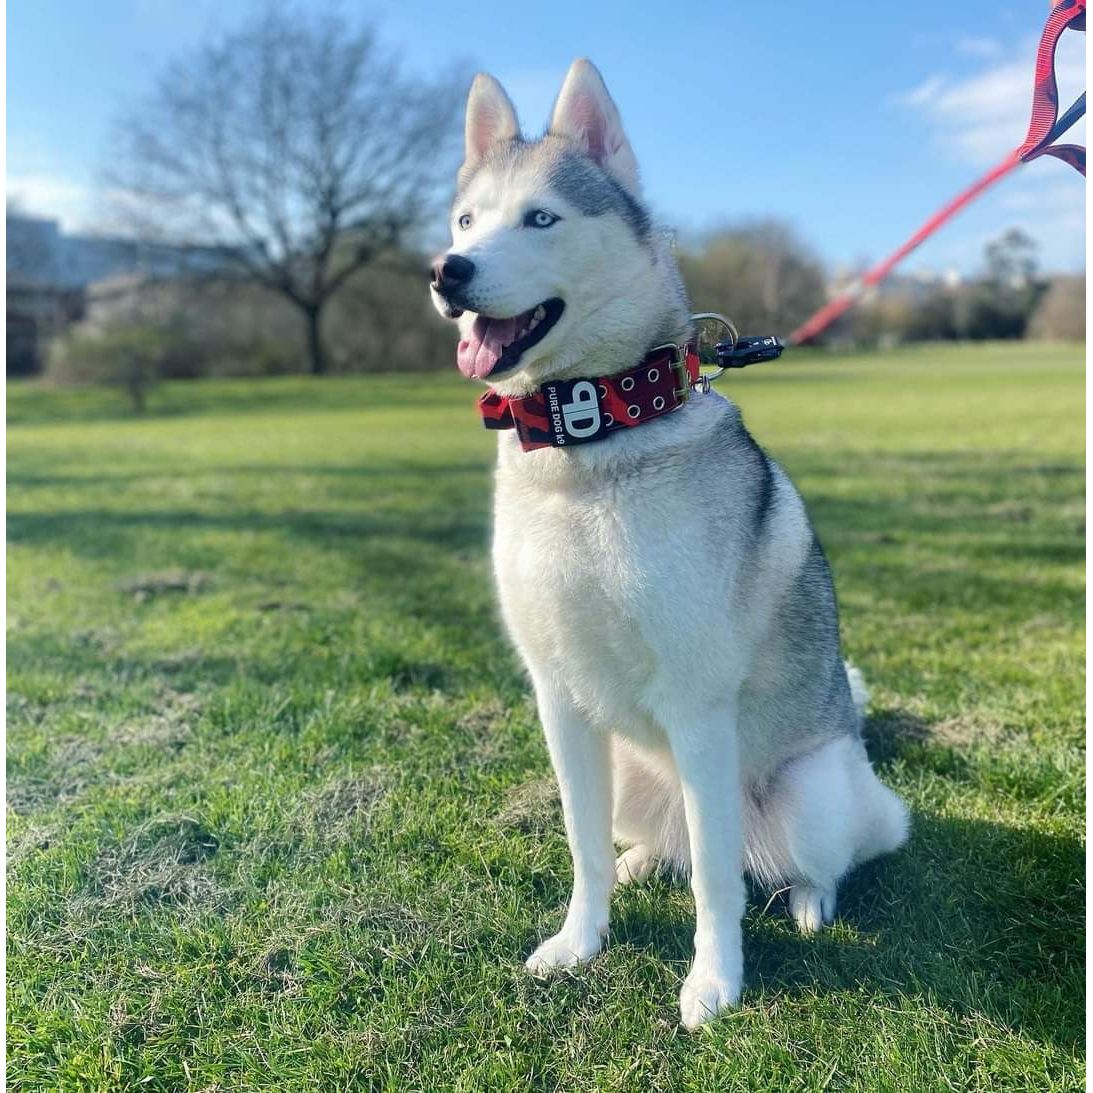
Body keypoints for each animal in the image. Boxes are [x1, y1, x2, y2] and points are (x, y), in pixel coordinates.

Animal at [430, 62, 909, 1031]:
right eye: (465, 221)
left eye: (540, 218)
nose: (445, 271)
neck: (589, 434)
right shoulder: (559, 700)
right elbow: (579, 845)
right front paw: (579, 940)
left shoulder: (697, 708)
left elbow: (718, 887)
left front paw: (713, 980)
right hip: (633, 770)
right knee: (677, 845)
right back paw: (642, 860)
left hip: (807, 789)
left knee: (799, 860)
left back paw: (810, 899)